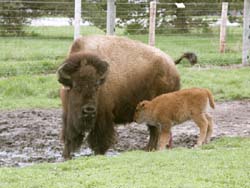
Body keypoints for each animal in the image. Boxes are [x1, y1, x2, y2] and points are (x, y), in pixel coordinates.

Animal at [57, 35, 197, 159]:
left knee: (157, 131)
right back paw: (151, 149)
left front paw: (98, 154)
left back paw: (151, 149)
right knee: (156, 131)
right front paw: (65, 156)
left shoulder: (103, 118)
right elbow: (69, 137)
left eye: (97, 85)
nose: (89, 110)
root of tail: (172, 64)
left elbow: (100, 139)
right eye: (75, 86)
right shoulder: (68, 115)